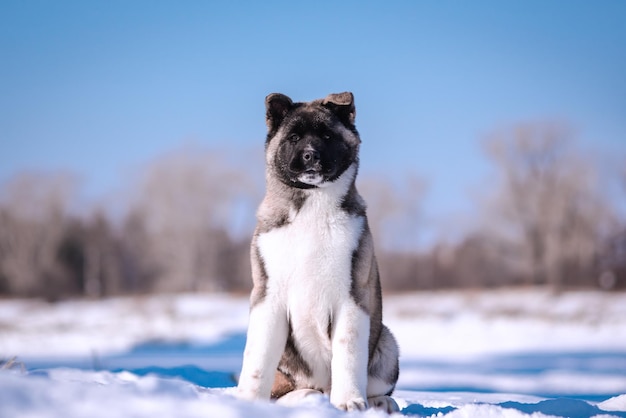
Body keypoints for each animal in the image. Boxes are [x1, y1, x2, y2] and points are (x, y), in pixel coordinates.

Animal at [236, 90, 398, 412]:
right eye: (294, 137)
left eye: (326, 135)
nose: (311, 155)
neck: (312, 205)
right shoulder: (267, 296)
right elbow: (258, 358)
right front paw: (247, 402)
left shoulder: (352, 297)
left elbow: (348, 353)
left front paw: (349, 403)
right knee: (289, 388)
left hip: (387, 346)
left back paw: (379, 403)